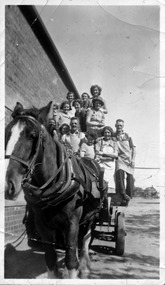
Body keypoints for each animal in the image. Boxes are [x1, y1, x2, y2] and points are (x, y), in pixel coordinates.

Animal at [4, 100, 107, 278]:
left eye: (33, 135)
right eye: (6, 133)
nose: (7, 184)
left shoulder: (72, 220)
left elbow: (71, 260)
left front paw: (74, 269)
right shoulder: (42, 224)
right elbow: (51, 259)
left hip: (92, 215)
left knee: (86, 238)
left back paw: (85, 267)